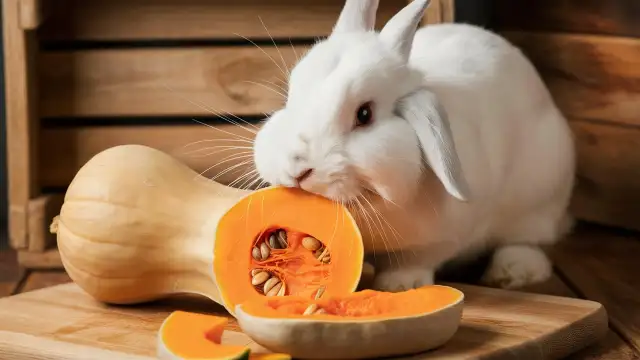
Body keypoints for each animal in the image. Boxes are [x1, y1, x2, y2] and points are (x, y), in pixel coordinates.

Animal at [252, 0, 576, 290]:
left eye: (364, 114)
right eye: (291, 98)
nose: (297, 168)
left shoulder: (440, 240)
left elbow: (414, 261)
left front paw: (399, 285)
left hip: (540, 199)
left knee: (528, 241)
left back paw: (510, 273)